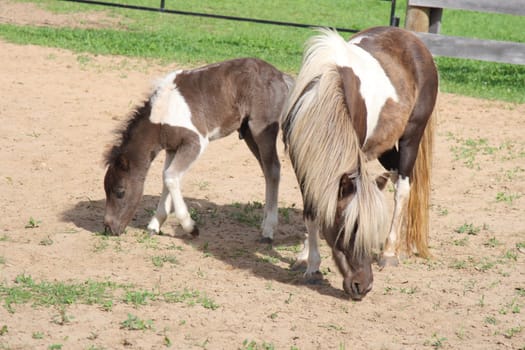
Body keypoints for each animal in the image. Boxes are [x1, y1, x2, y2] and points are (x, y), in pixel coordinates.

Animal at [102, 58, 290, 243]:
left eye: (120, 192)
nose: (109, 229)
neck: (162, 114)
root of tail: (281, 75)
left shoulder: (195, 142)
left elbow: (170, 176)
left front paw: (191, 228)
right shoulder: (172, 147)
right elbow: (167, 177)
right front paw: (155, 225)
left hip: (262, 129)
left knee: (273, 169)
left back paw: (268, 231)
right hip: (249, 133)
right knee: (266, 169)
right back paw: (264, 224)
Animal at [282, 28, 438, 300]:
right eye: (349, 229)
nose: (363, 286)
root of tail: (414, 40)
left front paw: (312, 263)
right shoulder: (302, 163)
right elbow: (312, 210)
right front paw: (308, 261)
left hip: (411, 138)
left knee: (403, 189)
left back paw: (389, 252)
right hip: (386, 147)